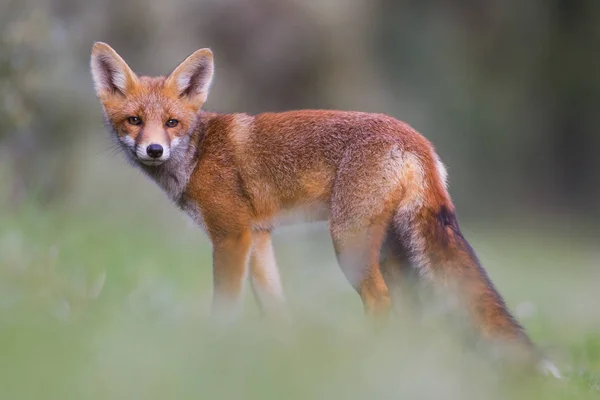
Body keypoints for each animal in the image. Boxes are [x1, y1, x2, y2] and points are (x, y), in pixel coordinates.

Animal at [90, 42, 564, 376]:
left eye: (171, 123)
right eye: (134, 121)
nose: (153, 149)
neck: (200, 152)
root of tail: (417, 141)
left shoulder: (232, 236)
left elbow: (226, 304)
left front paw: (215, 352)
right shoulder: (259, 237)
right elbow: (275, 307)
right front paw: (282, 358)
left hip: (350, 245)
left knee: (381, 302)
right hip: (390, 252)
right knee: (410, 309)